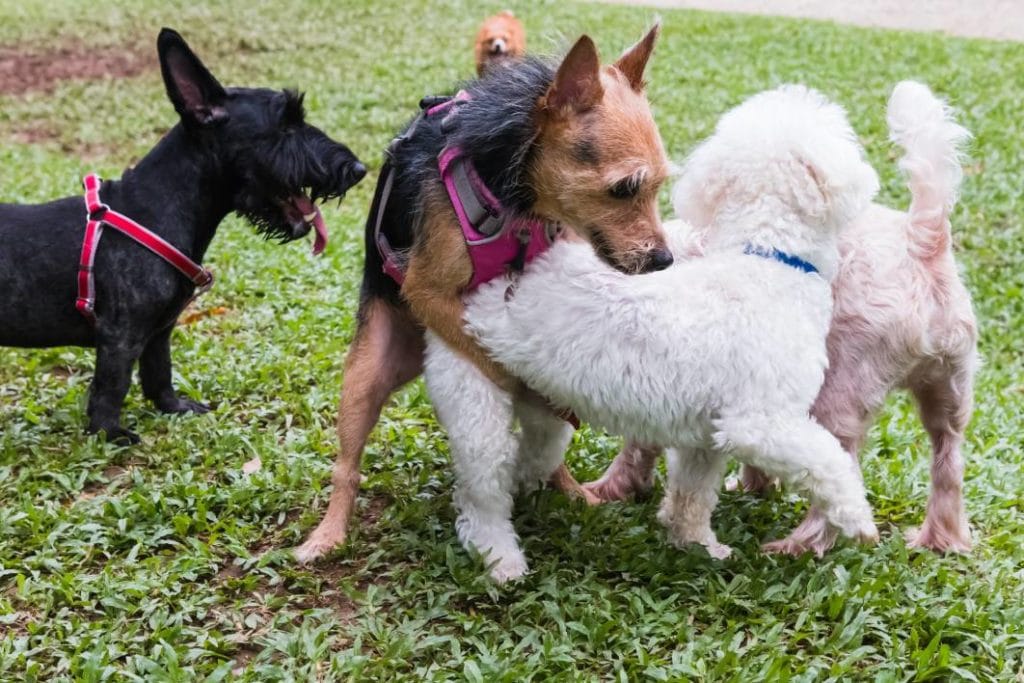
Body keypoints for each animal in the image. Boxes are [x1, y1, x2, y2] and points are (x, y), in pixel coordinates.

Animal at [0, 28, 366, 444]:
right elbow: (112, 385)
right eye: (286, 125)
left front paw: (173, 407)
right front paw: (109, 432)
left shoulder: (159, 332)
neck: (158, 206)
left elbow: (159, 371)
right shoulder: (120, 335)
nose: (358, 169)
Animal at [292, 26, 671, 561]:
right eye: (623, 189)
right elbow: (494, 359)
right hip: (366, 374)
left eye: (658, 186)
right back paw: (328, 534)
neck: (517, 200)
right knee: (347, 465)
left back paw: (571, 490)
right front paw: (526, 388)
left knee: (550, 457)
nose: (664, 260)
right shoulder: (427, 293)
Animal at [423, 82, 880, 581]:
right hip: (473, 388)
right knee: (481, 494)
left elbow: (693, 492)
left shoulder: (706, 435)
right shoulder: (760, 424)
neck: (766, 257)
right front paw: (858, 518)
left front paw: (695, 542)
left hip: (544, 408)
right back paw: (499, 555)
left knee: (533, 455)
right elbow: (829, 461)